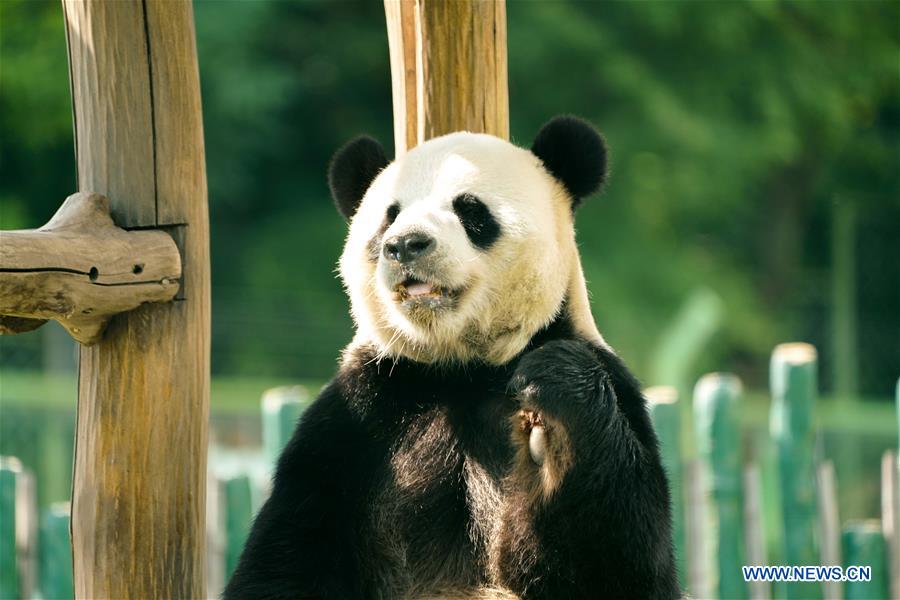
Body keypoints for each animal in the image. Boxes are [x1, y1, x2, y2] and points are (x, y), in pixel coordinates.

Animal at [224, 116, 679, 599]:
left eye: (470, 210)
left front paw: (552, 418)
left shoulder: (615, 385)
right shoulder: (357, 413)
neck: (461, 369)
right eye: (389, 216)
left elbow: (622, 564)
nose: (405, 244)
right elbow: (288, 556)